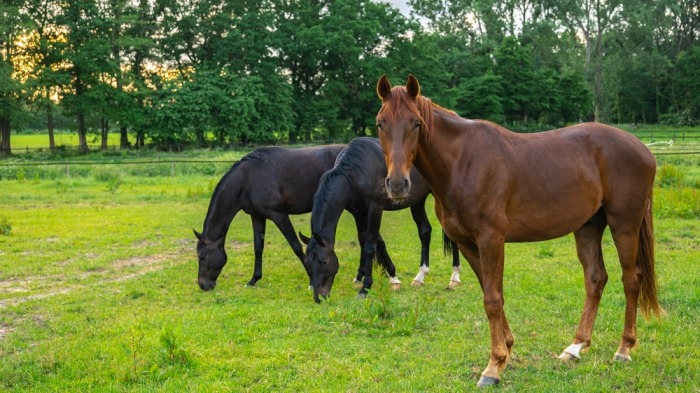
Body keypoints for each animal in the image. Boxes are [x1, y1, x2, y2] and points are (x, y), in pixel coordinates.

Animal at [193, 142, 346, 290]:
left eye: (202, 256)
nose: (203, 285)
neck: (247, 180)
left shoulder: (279, 216)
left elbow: (296, 246)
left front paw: (311, 280)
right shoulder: (257, 217)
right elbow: (258, 248)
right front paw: (253, 280)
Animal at [300, 136, 460, 302]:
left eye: (323, 261)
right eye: (308, 263)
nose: (319, 297)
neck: (356, 171)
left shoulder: (375, 208)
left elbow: (370, 247)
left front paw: (365, 288)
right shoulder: (358, 213)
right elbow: (372, 242)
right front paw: (391, 277)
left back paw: (455, 277)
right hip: (417, 201)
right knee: (425, 231)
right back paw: (420, 277)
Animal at [374, 75, 660, 388]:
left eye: (416, 123)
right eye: (380, 123)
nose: (397, 184)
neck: (462, 162)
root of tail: (643, 150)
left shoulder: (491, 239)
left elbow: (492, 300)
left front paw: (493, 367)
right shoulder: (467, 244)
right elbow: (491, 294)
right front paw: (507, 351)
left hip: (624, 225)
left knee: (631, 279)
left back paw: (624, 349)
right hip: (588, 226)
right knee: (596, 279)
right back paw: (574, 348)